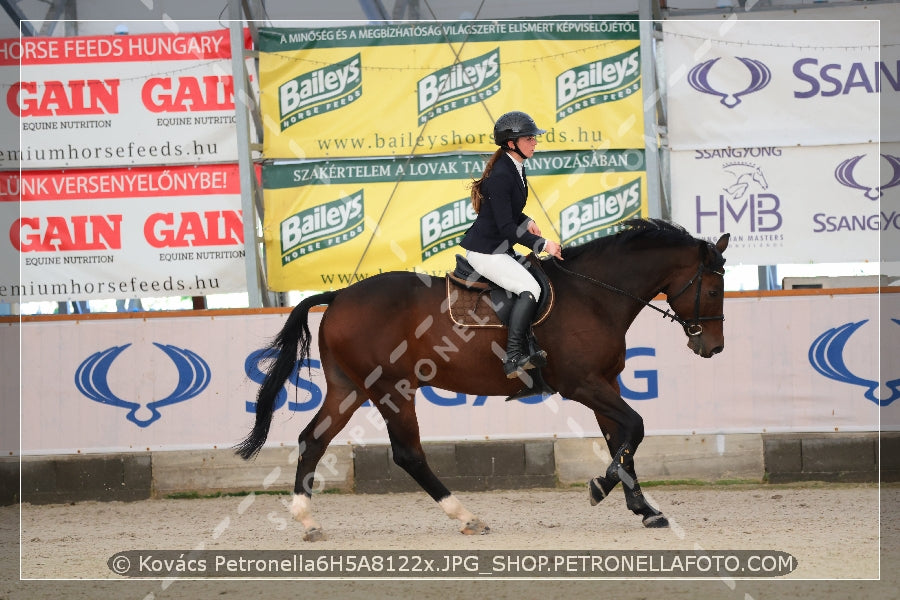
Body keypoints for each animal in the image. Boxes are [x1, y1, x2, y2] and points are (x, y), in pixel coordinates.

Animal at [236, 218, 728, 540]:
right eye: (712, 287)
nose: (713, 348)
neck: (593, 294)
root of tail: (339, 296)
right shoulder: (583, 384)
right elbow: (635, 429)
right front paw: (599, 489)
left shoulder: (607, 382)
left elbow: (622, 439)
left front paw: (644, 509)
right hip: (392, 390)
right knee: (408, 454)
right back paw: (466, 517)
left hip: (348, 388)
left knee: (312, 439)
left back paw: (308, 519)